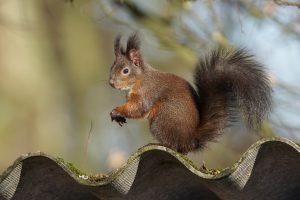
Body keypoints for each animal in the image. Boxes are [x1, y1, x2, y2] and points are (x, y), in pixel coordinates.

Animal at [108, 33, 272, 154]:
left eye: (125, 71)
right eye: (112, 66)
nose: (111, 83)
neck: (140, 79)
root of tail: (191, 139)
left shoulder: (147, 92)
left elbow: (138, 108)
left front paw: (116, 111)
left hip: (161, 120)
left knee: (175, 146)